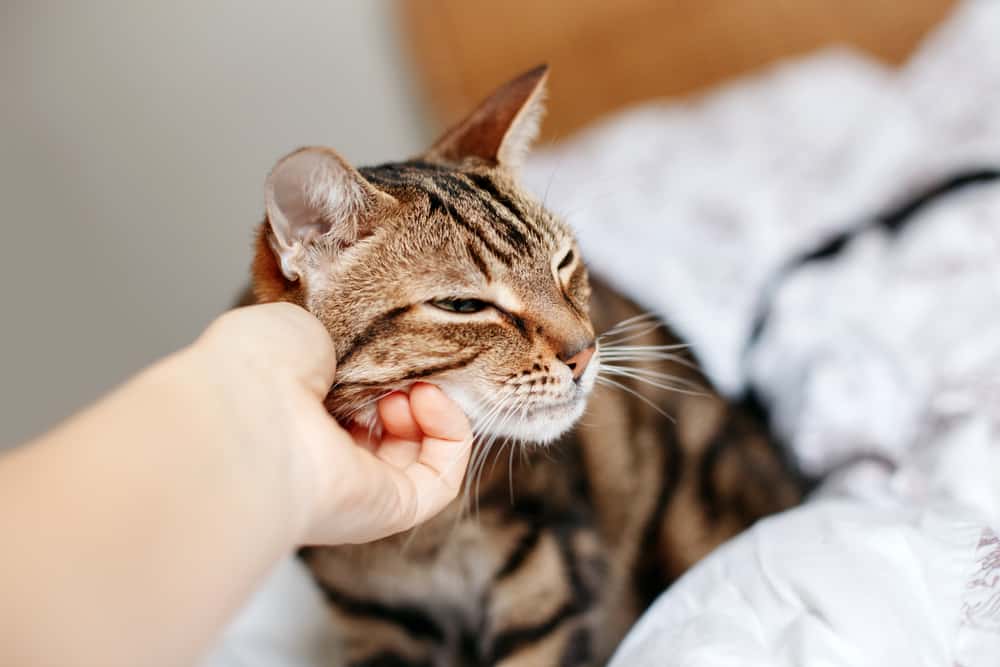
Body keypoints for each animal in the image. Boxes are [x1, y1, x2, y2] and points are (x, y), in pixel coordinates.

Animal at [250, 66, 804, 667]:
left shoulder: (547, 586)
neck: (422, 541)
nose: (586, 351)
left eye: (564, 263)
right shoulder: (374, 619)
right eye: (463, 305)